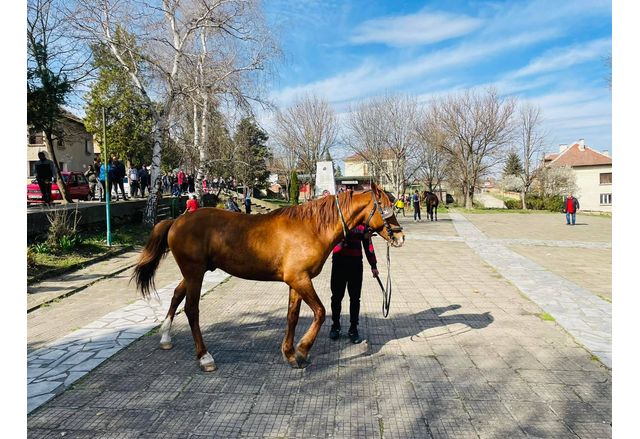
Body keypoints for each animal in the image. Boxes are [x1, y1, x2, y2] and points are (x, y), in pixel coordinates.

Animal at [133, 182, 404, 372]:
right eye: (386, 207)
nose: (400, 237)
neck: (312, 227)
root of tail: (176, 220)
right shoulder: (301, 280)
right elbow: (320, 312)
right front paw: (302, 350)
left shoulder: (296, 282)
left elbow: (292, 316)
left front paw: (290, 353)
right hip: (194, 272)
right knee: (191, 309)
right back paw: (204, 357)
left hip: (194, 273)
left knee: (177, 295)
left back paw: (166, 337)